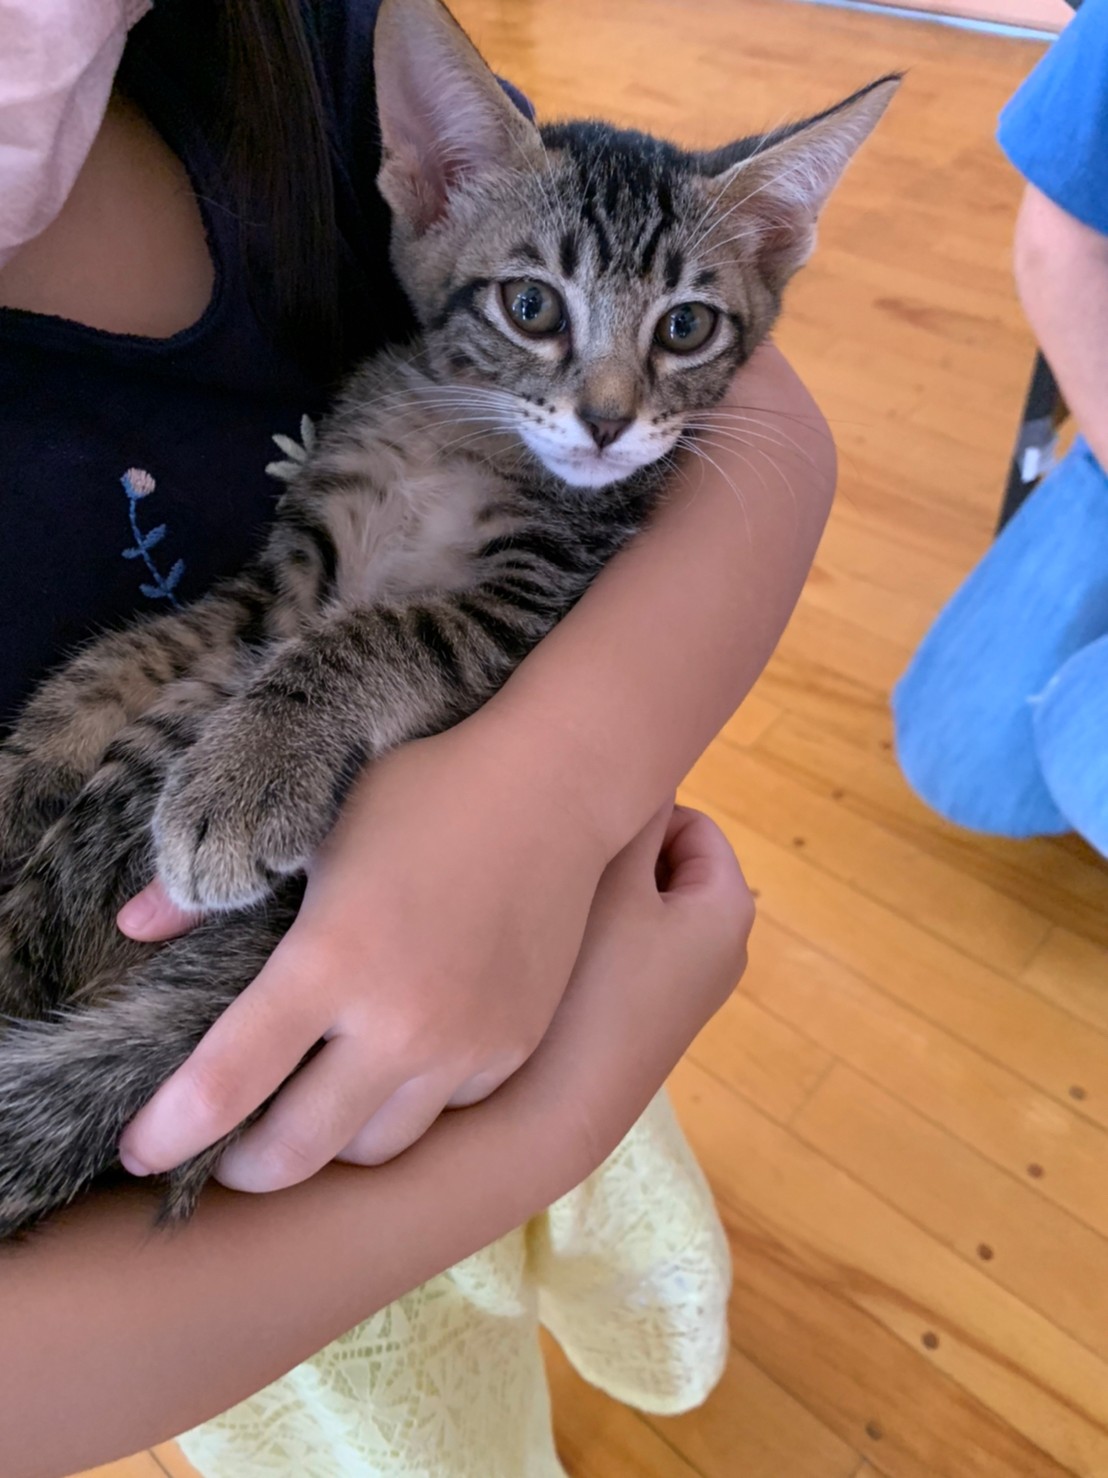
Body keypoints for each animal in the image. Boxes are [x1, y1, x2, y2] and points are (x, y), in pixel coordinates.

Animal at [0, 0, 896, 1237]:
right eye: (530, 306)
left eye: (686, 328)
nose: (608, 423)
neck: (453, 434)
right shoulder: (286, 573)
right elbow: (128, 660)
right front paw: (25, 762)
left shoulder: (530, 599)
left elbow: (371, 635)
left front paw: (245, 775)